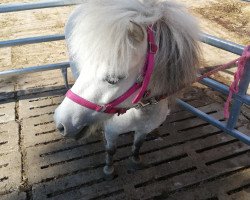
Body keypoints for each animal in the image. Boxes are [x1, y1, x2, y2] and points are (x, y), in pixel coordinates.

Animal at [53, 0, 200, 179]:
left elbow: (138, 144)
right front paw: (109, 170)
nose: (61, 123)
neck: (142, 112)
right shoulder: (111, 132)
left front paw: (135, 161)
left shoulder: (143, 130)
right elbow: (111, 150)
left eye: (113, 79)